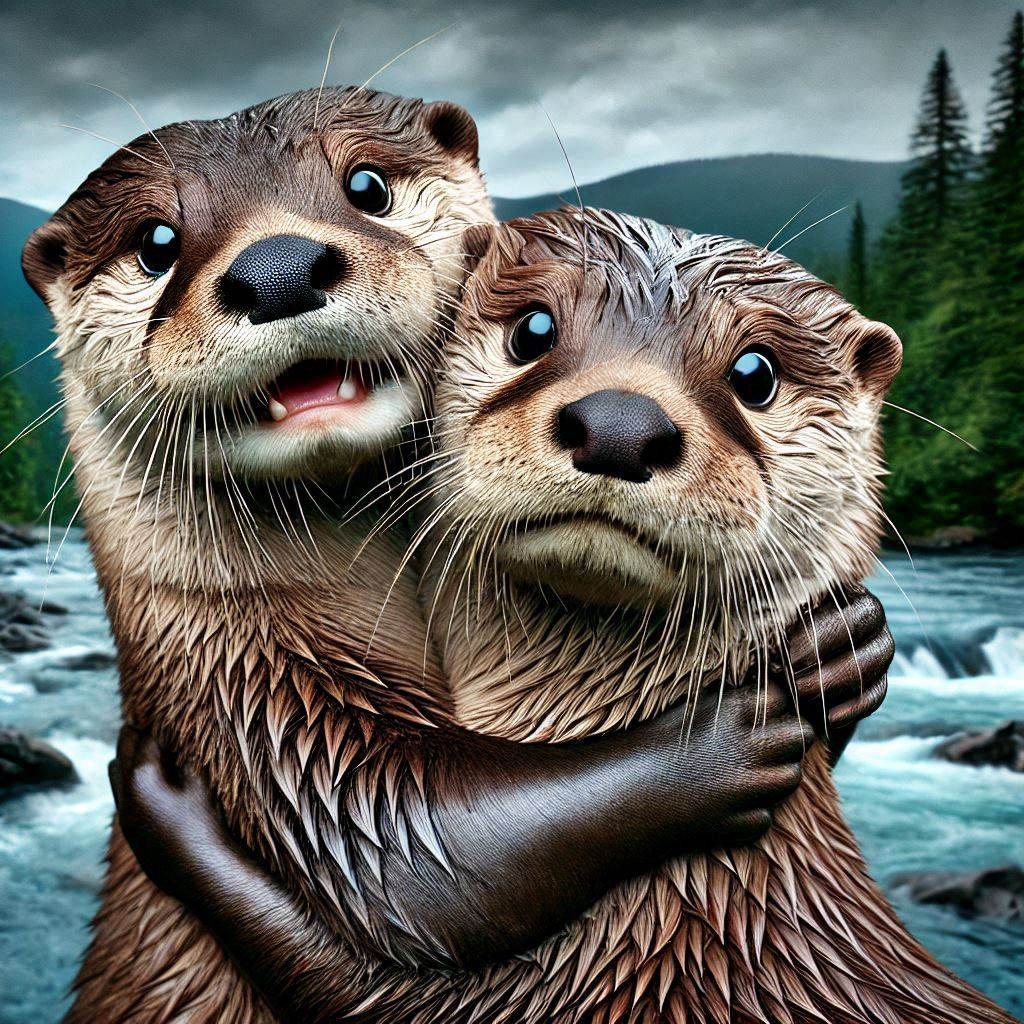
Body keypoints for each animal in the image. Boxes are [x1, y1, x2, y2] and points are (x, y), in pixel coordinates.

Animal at [20, 93, 875, 1024]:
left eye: (365, 185)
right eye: (156, 243)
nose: (278, 270)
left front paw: (836, 657)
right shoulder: (249, 699)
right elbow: (419, 851)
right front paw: (731, 732)